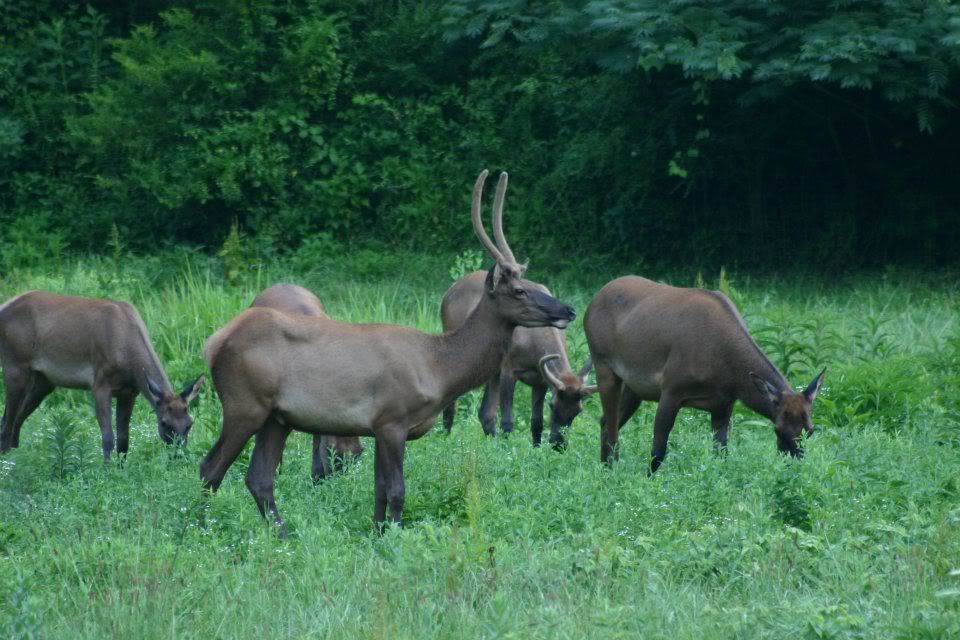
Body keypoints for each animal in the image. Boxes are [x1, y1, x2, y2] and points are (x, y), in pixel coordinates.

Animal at [0, 290, 204, 460]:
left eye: (189, 423)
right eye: (164, 423)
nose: (179, 455)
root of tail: (4, 305)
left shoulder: (129, 392)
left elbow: (124, 439)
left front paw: (121, 470)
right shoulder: (100, 384)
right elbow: (108, 438)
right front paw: (106, 472)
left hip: (44, 380)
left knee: (17, 419)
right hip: (14, 365)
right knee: (6, 423)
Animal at [440, 272, 592, 448]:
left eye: (578, 410)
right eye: (552, 405)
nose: (558, 443)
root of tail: (449, 291)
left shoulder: (540, 379)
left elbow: (537, 422)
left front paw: (536, 448)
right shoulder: (508, 369)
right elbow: (507, 421)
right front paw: (507, 450)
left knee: (485, 413)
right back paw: (444, 438)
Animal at [584, 278, 824, 472]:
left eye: (811, 431)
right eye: (778, 429)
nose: (793, 467)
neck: (729, 374)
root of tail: (591, 303)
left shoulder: (724, 404)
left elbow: (721, 453)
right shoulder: (671, 388)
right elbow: (658, 452)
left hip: (633, 387)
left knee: (605, 421)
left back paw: (605, 468)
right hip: (602, 363)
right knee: (612, 428)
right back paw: (611, 471)